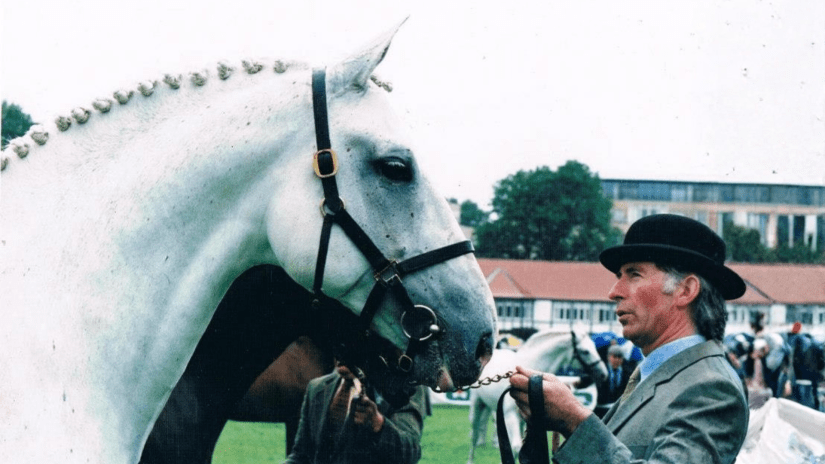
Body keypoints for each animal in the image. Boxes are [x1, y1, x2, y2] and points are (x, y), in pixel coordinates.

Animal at [467, 328, 608, 464]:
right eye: (585, 351)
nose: (604, 374)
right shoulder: (509, 415)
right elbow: (516, 447)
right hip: (477, 404)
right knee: (474, 434)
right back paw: (471, 459)